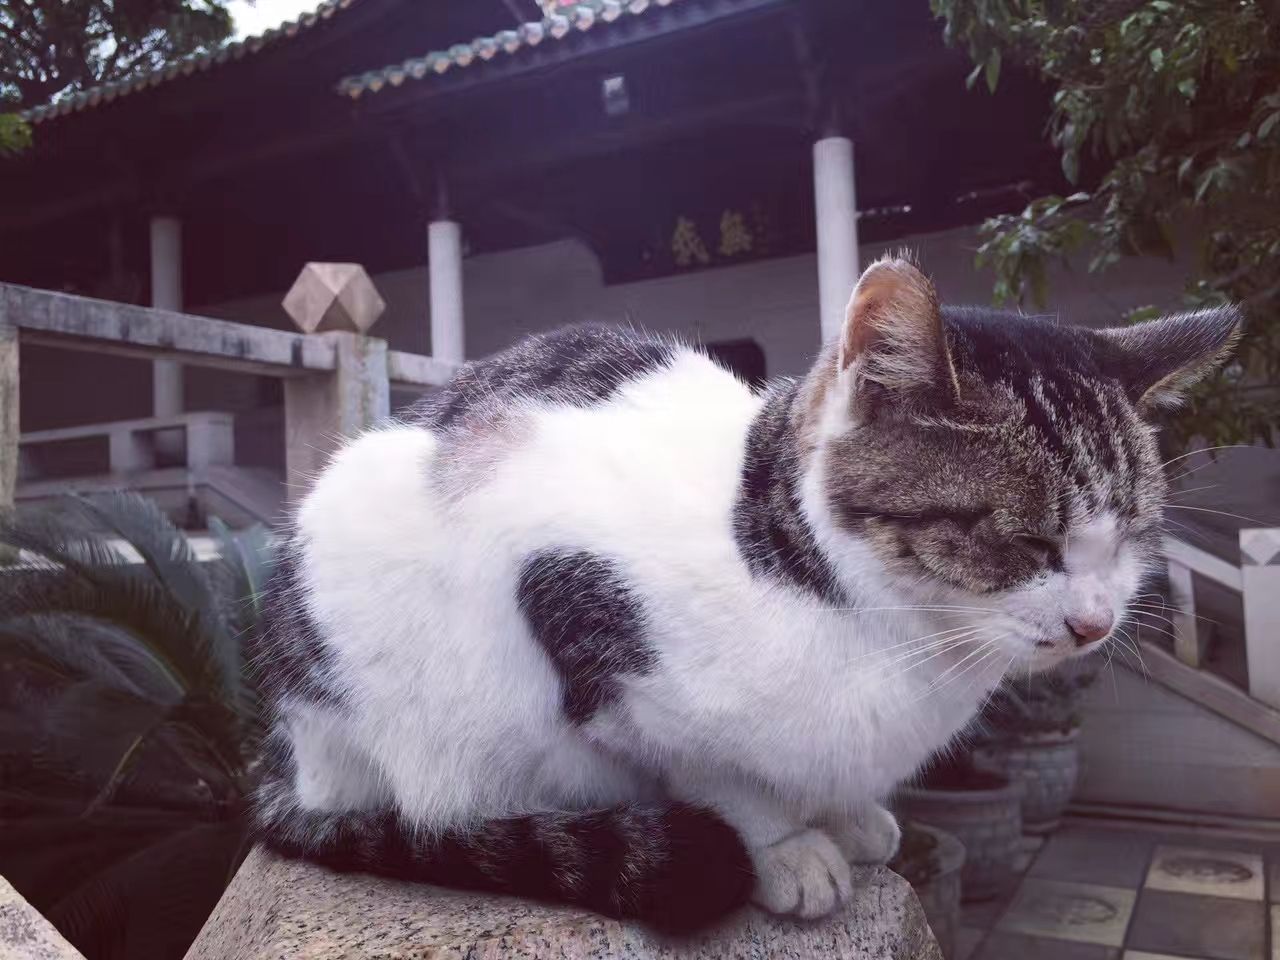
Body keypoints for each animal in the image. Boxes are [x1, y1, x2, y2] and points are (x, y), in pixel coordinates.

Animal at [249, 253, 1239, 931]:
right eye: (1028, 539)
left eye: (1131, 539)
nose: (1094, 622)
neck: (883, 633)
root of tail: (291, 756)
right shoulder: (570, 594)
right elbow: (715, 773)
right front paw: (787, 848)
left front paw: (846, 816)